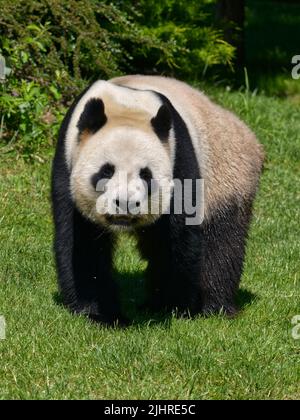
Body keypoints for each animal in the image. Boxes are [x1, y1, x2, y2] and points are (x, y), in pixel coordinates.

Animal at [52, 75, 264, 324]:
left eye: (146, 175)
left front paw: (173, 307)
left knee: (222, 244)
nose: (125, 204)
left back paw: (215, 308)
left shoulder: (178, 158)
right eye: (106, 171)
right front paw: (100, 314)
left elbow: (177, 240)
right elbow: (83, 244)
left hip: (225, 176)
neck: (126, 105)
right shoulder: (67, 160)